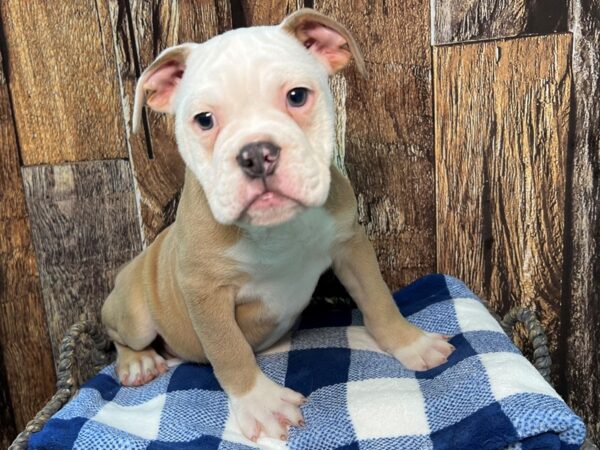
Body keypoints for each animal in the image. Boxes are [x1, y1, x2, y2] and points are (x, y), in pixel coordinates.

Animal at [101, 7, 452, 442]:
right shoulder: (204, 291)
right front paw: (260, 403)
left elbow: (378, 298)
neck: (276, 230)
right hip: (135, 314)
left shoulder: (350, 245)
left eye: (297, 96)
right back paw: (138, 363)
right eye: (204, 120)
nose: (256, 154)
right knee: (118, 334)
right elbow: (229, 349)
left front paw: (410, 344)